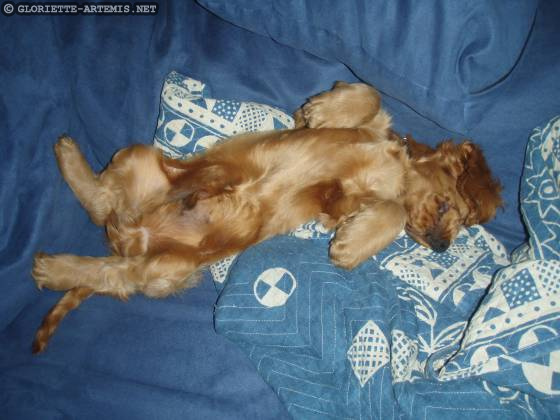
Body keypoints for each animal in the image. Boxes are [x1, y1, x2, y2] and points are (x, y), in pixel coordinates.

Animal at [31, 82, 502, 353]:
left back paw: (53, 267)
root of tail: (129, 235)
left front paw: (350, 246)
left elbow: (390, 207)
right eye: (447, 206)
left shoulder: (337, 207)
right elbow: (370, 93)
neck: (391, 160)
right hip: (141, 163)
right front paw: (326, 109)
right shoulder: (328, 137)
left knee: (113, 270)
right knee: (101, 204)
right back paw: (67, 160)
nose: (440, 247)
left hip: (167, 267)